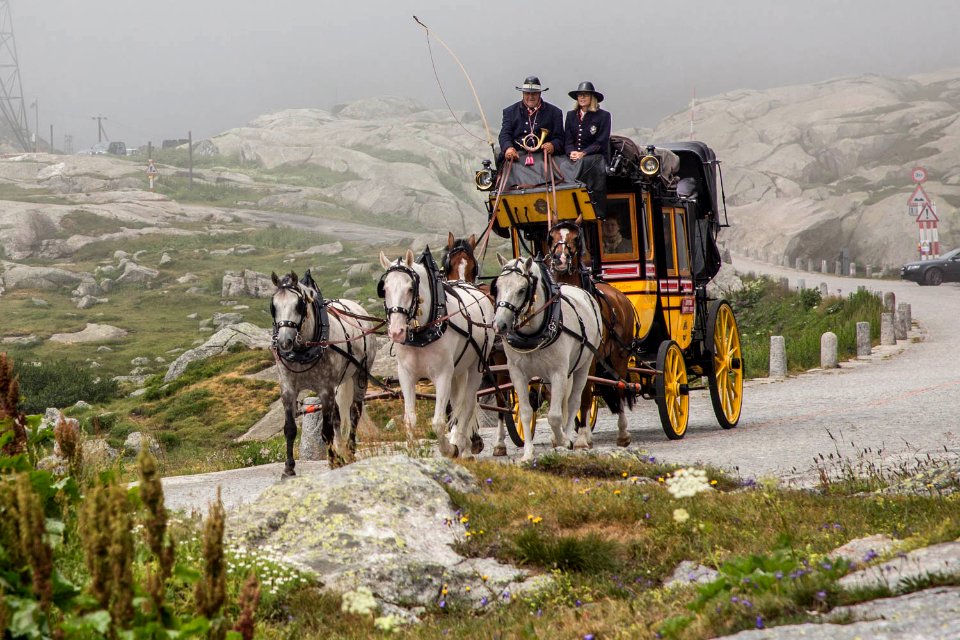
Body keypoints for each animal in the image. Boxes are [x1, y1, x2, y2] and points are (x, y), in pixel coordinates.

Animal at [272, 270, 376, 476]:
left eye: (298, 305)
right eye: (273, 306)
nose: (284, 342)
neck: (304, 350)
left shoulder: (325, 389)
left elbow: (326, 431)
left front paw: (334, 460)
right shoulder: (288, 389)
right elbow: (290, 429)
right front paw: (289, 467)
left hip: (360, 376)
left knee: (354, 413)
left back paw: (350, 451)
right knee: (338, 417)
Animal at [376, 248, 496, 458]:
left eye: (410, 289)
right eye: (385, 289)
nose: (397, 332)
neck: (423, 331)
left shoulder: (442, 375)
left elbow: (438, 422)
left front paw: (449, 449)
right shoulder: (406, 375)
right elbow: (410, 419)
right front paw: (412, 453)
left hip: (475, 368)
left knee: (466, 406)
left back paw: (462, 446)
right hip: (458, 371)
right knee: (458, 404)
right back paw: (464, 445)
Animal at [496, 254, 600, 460]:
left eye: (522, 289)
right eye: (497, 286)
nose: (500, 324)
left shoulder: (558, 372)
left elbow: (554, 416)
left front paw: (563, 441)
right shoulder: (517, 373)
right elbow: (526, 412)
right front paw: (528, 453)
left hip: (584, 365)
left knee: (575, 401)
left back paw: (573, 440)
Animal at [548, 218, 636, 448]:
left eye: (576, 238)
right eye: (551, 236)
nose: (560, 259)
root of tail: (621, 297)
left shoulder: (589, 358)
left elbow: (585, 394)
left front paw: (581, 438)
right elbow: (563, 394)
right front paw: (561, 436)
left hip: (619, 355)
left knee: (620, 387)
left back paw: (623, 433)